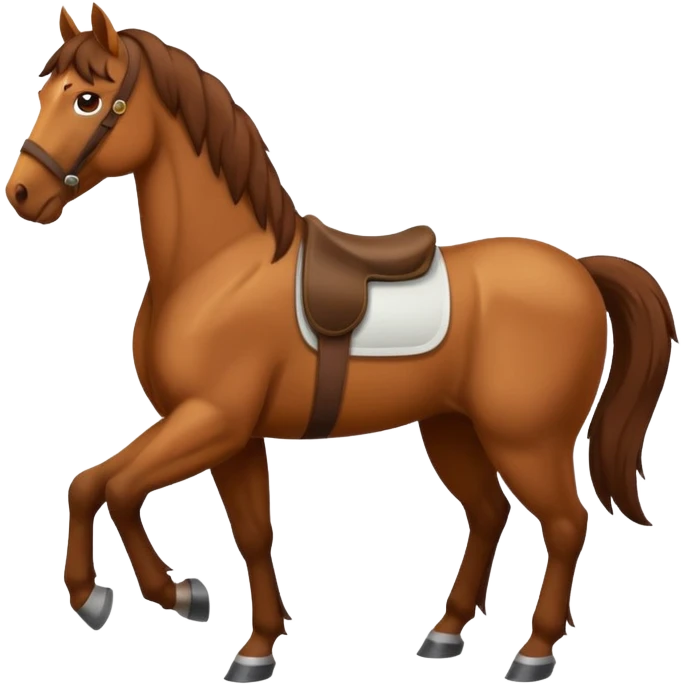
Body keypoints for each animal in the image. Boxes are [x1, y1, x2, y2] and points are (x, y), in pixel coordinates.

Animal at [6, 4, 677, 683]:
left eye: (88, 99)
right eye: (43, 92)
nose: (22, 195)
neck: (220, 267)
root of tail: (580, 271)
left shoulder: (211, 421)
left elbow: (114, 488)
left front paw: (157, 595)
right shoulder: (232, 437)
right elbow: (229, 526)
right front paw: (254, 644)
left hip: (528, 441)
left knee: (566, 524)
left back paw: (534, 652)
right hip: (452, 428)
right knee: (489, 515)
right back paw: (445, 633)